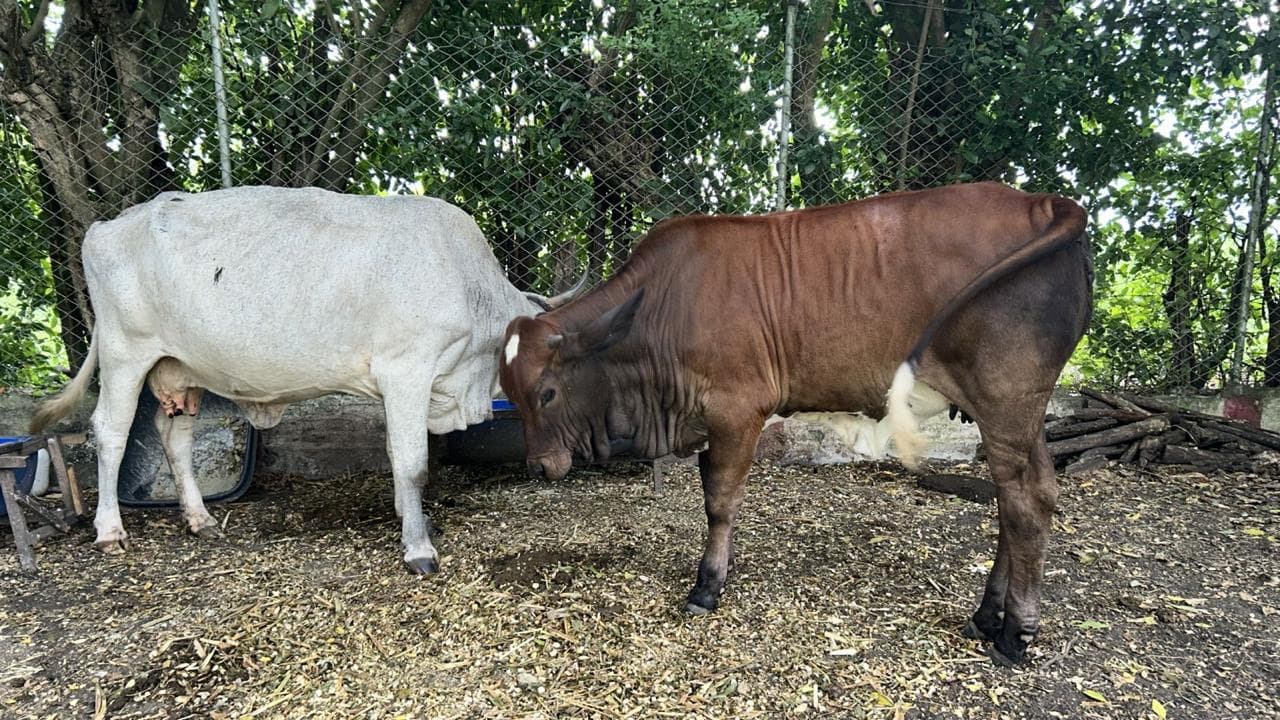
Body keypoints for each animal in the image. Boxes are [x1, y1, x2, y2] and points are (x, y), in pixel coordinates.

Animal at [30, 186, 585, 573]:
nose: (558, 464)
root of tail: (111, 223)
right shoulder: (407, 369)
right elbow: (412, 464)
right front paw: (418, 549)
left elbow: (398, 457)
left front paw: (410, 521)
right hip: (125, 353)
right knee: (111, 432)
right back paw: (109, 530)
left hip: (184, 369)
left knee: (175, 438)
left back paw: (200, 519)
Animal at [498, 182, 1092, 665]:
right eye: (508, 392)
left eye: (548, 392)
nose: (537, 466)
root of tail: (1043, 202)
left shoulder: (737, 410)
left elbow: (720, 501)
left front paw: (707, 587)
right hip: (1015, 413)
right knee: (1023, 497)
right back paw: (988, 616)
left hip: (1007, 400)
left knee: (1025, 502)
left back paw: (1015, 633)